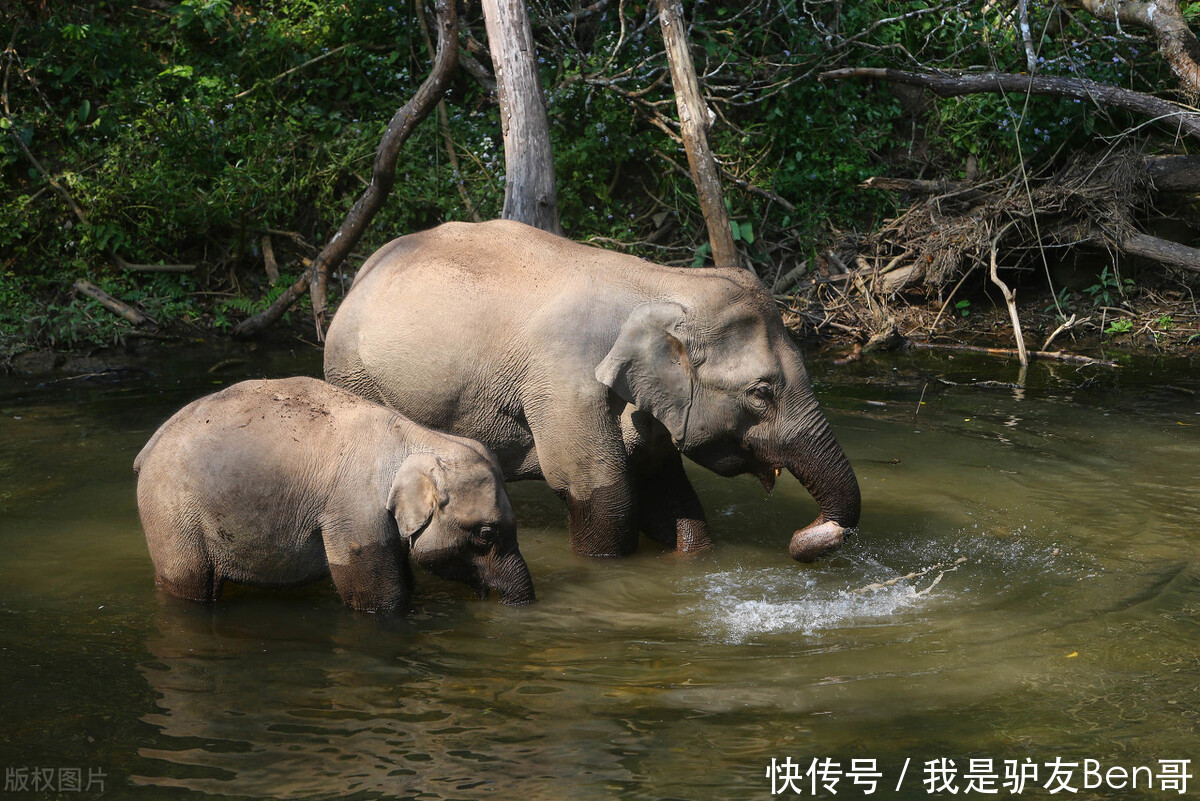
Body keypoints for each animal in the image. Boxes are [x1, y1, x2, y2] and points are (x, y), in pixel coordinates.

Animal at [131, 376, 535, 613]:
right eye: (485, 533)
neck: (419, 438)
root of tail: (146, 450)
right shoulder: (354, 512)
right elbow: (379, 596)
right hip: (171, 514)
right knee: (191, 585)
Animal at [324, 215, 859, 561]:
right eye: (761, 392)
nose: (814, 532)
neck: (663, 283)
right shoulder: (564, 386)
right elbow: (604, 496)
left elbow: (666, 490)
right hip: (354, 374)